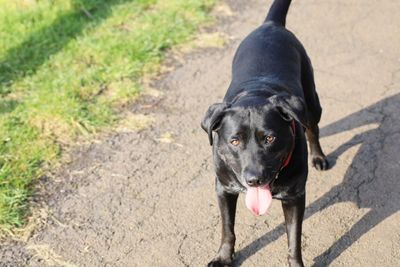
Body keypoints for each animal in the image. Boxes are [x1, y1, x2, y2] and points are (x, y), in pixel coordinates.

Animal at [202, 1, 326, 266]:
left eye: (270, 138)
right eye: (234, 141)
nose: (254, 179)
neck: (255, 93)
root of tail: (270, 25)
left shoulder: (294, 196)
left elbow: (294, 238)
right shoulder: (224, 189)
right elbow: (227, 228)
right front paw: (223, 257)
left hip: (311, 102)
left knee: (313, 127)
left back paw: (319, 157)